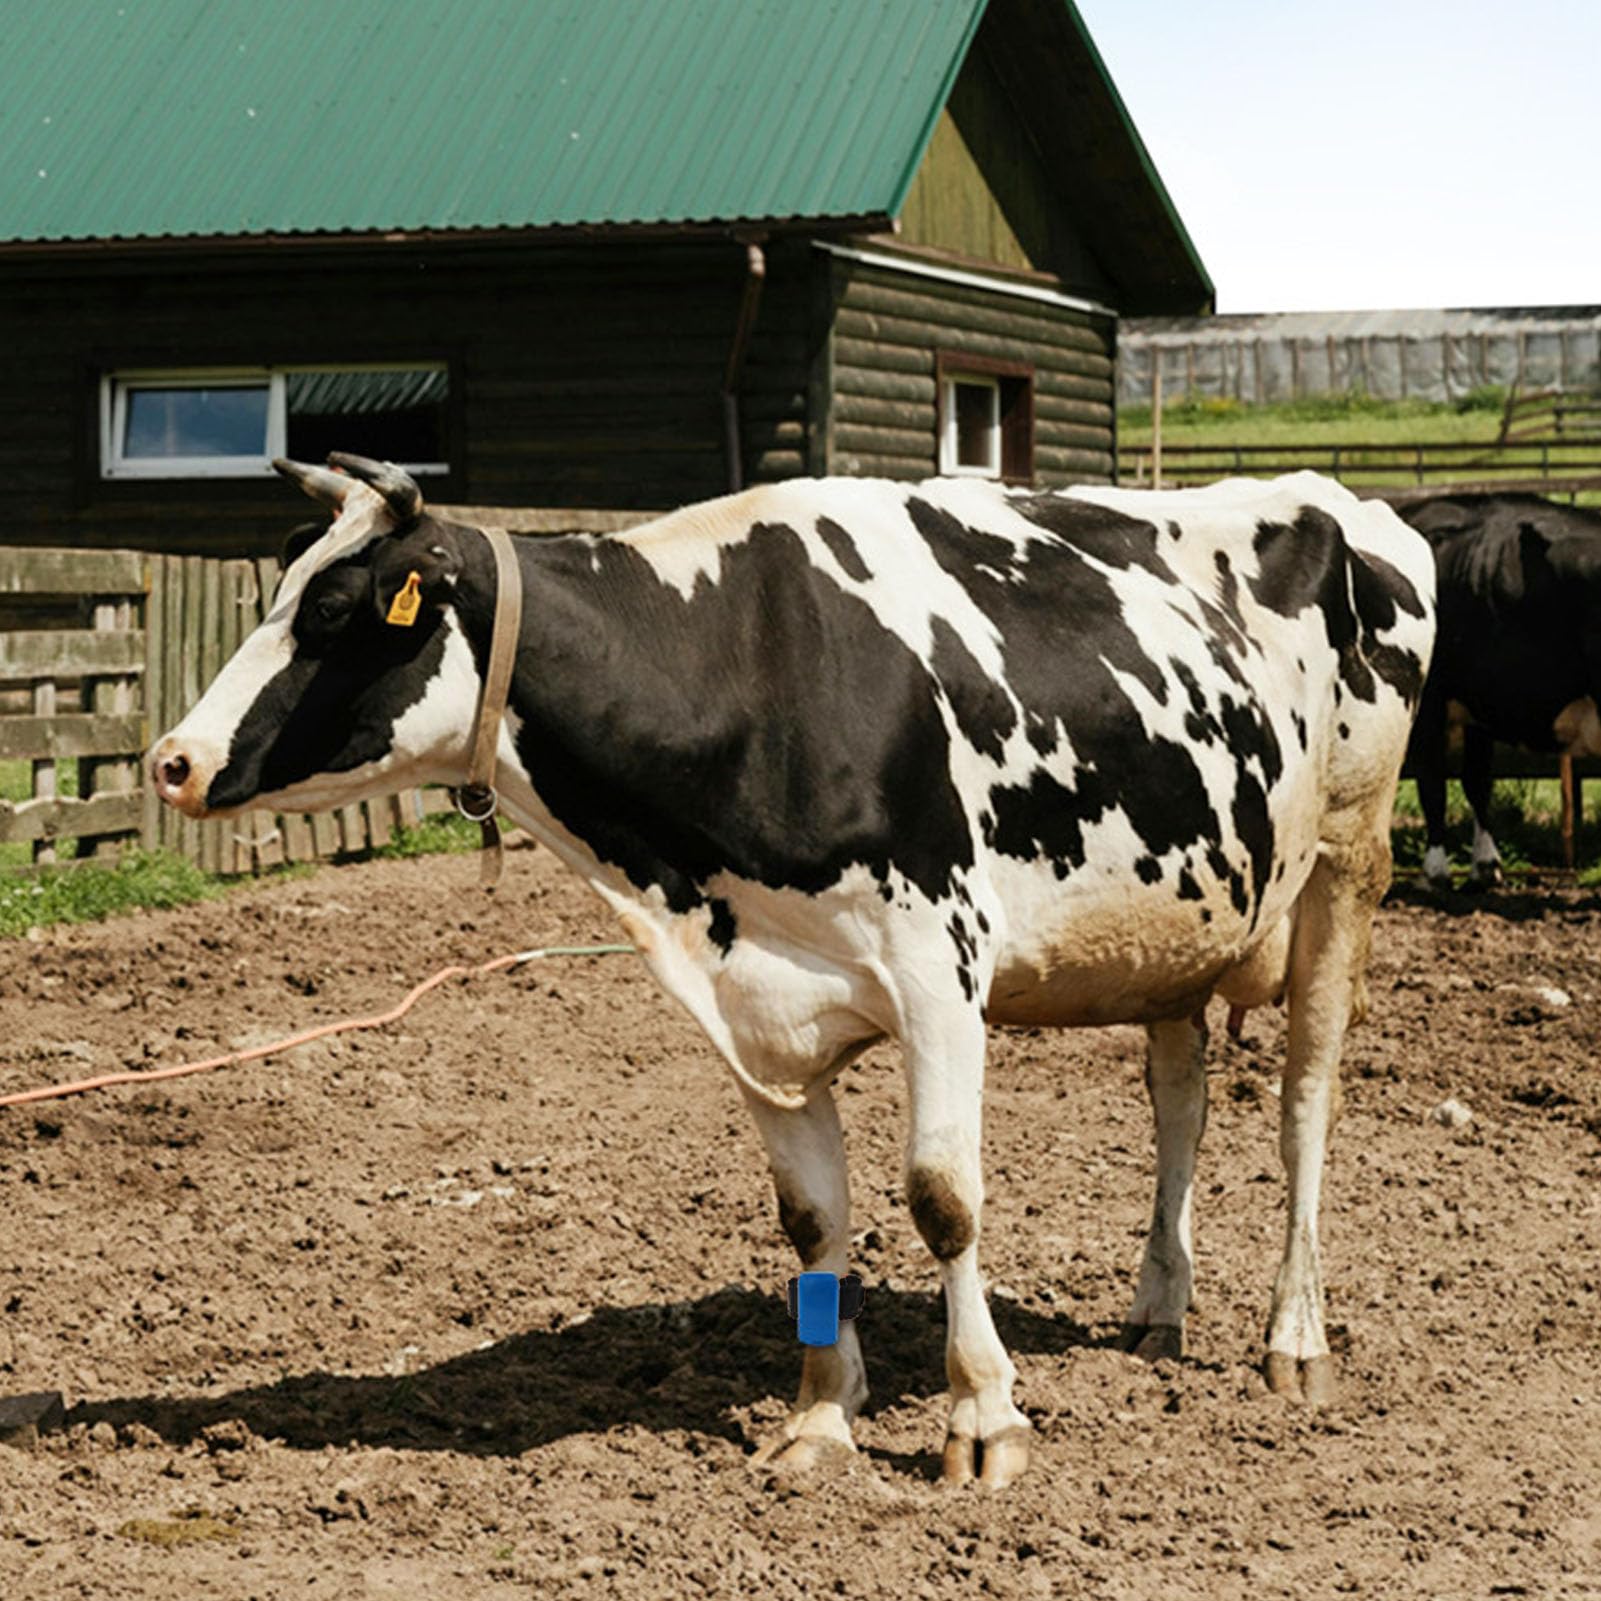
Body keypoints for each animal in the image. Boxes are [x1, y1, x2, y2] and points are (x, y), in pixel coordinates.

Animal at [149, 459, 1434, 1488]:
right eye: (278, 590)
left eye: (333, 608)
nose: (172, 759)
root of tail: (1341, 500)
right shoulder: (752, 1011)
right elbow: (812, 1217)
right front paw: (820, 1419)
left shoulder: (938, 970)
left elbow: (941, 1197)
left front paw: (983, 1418)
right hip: (1175, 922)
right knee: (1178, 1095)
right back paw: (1156, 1308)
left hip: (1345, 863)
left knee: (1303, 1101)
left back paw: (1293, 1339)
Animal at [1396, 492, 1601, 889]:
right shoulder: (1478, 702)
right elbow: (1476, 780)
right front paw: (1485, 865)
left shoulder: (1431, 697)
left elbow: (1433, 781)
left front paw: (1434, 872)